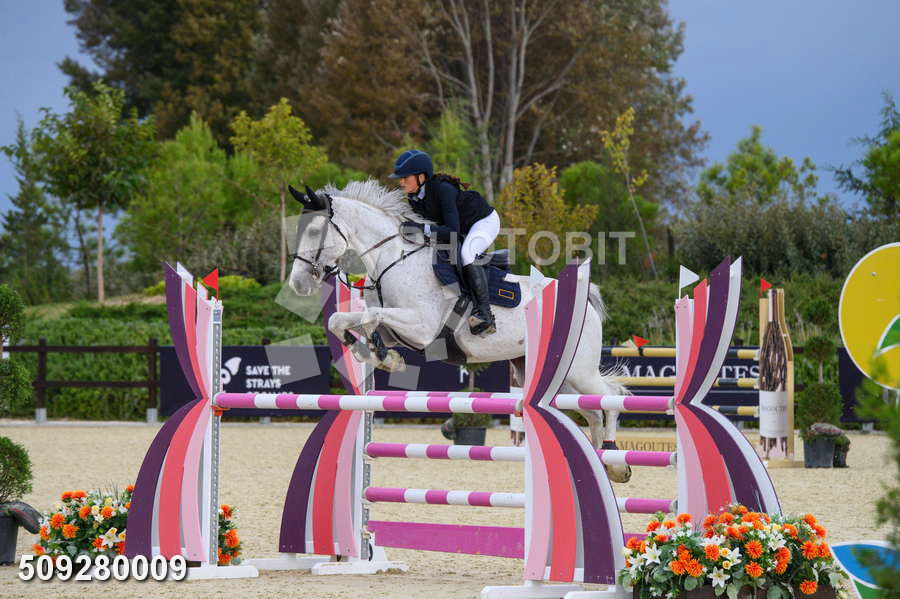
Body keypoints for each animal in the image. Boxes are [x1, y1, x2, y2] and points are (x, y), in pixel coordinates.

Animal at [287, 180, 632, 482]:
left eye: (314, 231)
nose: (298, 284)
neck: (394, 260)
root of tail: (586, 301)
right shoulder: (399, 330)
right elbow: (343, 321)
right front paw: (376, 353)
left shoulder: (421, 327)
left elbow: (372, 315)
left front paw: (383, 355)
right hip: (551, 376)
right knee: (593, 412)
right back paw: (601, 463)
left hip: (579, 371)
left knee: (611, 397)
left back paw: (615, 461)